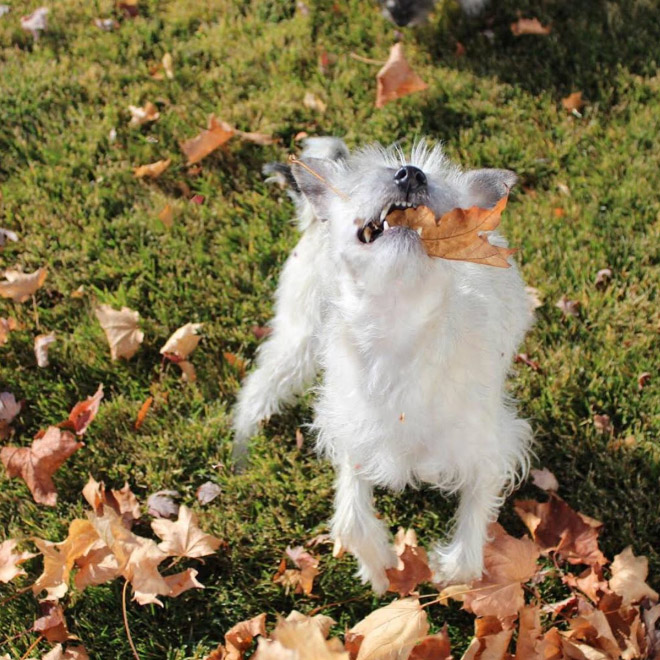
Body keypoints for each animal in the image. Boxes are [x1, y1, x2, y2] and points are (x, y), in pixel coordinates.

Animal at [235, 138, 532, 592]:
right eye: (363, 180)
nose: (411, 174)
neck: (397, 324)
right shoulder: (352, 434)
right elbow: (351, 519)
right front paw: (381, 568)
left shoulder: (492, 448)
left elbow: (471, 536)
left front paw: (446, 570)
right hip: (298, 339)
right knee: (256, 389)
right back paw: (241, 451)